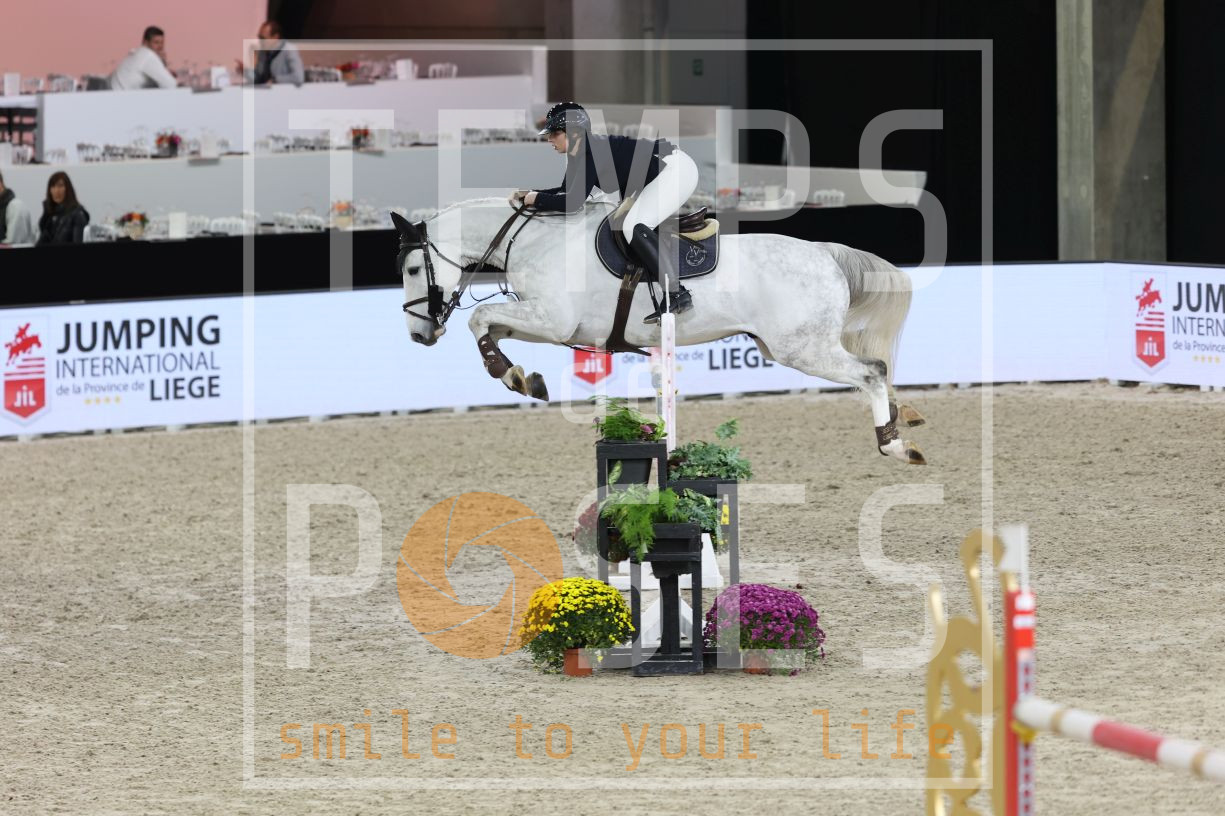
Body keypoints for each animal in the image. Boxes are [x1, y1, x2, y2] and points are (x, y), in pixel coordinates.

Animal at [393, 198, 927, 464]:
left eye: (413, 270)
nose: (419, 335)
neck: (535, 240)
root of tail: (823, 252)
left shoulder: (552, 318)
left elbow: (477, 317)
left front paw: (511, 374)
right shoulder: (550, 323)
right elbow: (489, 325)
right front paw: (521, 376)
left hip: (802, 349)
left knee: (872, 370)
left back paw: (893, 442)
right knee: (875, 371)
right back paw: (903, 417)